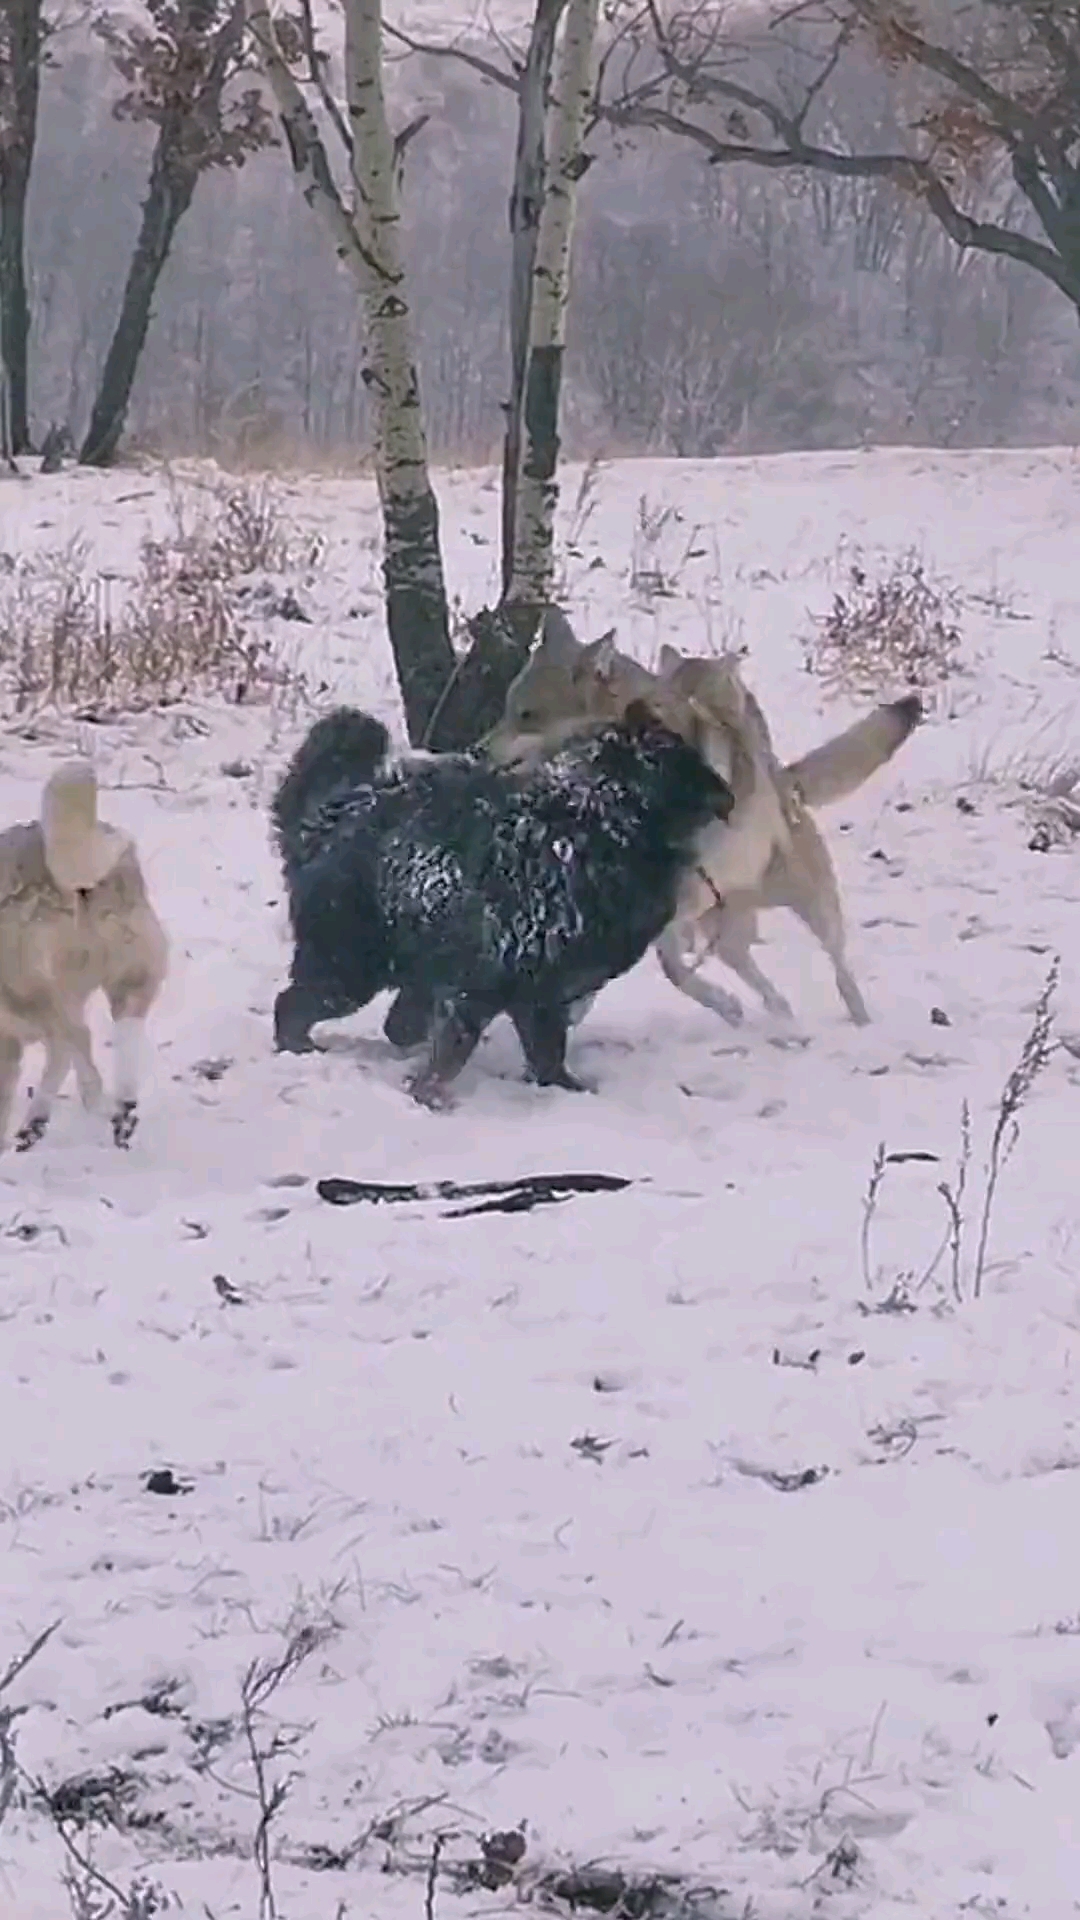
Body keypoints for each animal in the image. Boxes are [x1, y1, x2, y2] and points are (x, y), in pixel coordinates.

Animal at [269, 702, 730, 1113]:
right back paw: (301, 1050)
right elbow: (454, 1051)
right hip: (350, 965)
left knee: (393, 1021)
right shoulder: (482, 983)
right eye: (683, 761)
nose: (727, 794)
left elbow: (546, 1054)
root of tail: (330, 814)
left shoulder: (540, 995)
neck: (593, 825)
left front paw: (564, 1090)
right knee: (292, 1006)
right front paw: (430, 1096)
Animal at [484, 614, 922, 1036]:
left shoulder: (675, 897)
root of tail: (784, 782)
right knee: (753, 974)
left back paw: (858, 1021)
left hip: (808, 903)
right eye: (504, 708)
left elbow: (667, 964)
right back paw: (777, 1014)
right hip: (727, 929)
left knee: (838, 965)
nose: (478, 750)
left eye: (527, 715)